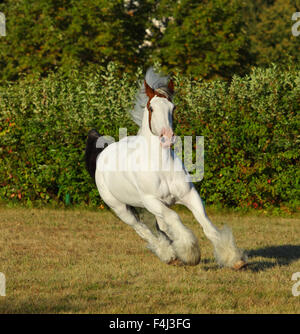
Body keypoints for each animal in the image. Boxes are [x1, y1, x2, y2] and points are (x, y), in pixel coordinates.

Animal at [85, 67, 247, 268]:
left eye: (173, 107)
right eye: (151, 108)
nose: (167, 137)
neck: (161, 166)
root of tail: (102, 152)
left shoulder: (189, 196)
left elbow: (206, 225)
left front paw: (233, 258)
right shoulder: (152, 201)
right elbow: (175, 218)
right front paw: (191, 253)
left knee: (163, 228)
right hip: (120, 208)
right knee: (143, 230)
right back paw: (169, 255)